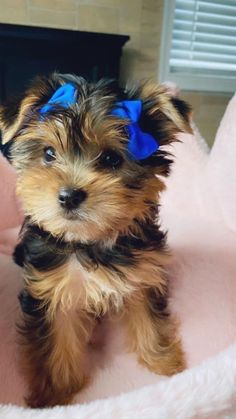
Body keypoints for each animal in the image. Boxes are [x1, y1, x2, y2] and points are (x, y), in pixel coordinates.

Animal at [0, 74, 192, 408]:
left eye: (111, 158)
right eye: (48, 153)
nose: (69, 195)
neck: (89, 241)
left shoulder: (143, 273)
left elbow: (149, 317)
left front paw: (165, 364)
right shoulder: (52, 290)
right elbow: (57, 341)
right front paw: (55, 395)